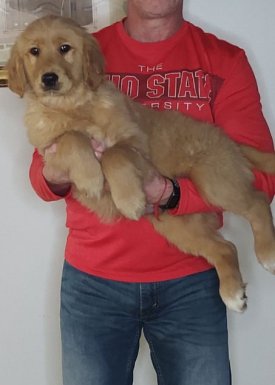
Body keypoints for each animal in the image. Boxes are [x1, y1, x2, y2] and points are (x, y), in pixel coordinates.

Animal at [7, 14, 275, 312]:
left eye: (65, 48)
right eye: (34, 52)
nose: (49, 78)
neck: (73, 106)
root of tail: (228, 141)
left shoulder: (136, 144)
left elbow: (113, 154)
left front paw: (128, 199)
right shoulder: (49, 151)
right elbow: (72, 138)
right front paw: (90, 177)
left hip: (214, 181)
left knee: (258, 201)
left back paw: (268, 254)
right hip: (175, 223)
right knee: (226, 248)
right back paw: (232, 294)